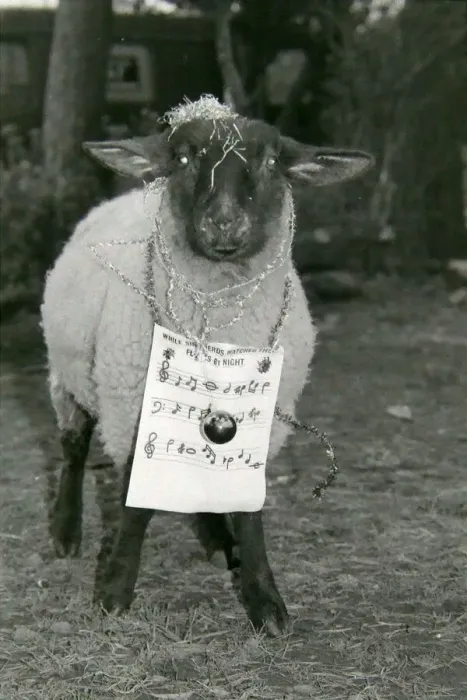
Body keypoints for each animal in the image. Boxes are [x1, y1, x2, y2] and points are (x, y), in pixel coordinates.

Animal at [41, 96, 373, 637]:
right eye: (182, 158)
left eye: (272, 161)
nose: (224, 223)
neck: (218, 332)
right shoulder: (133, 408)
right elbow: (134, 506)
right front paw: (115, 591)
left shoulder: (261, 419)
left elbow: (247, 507)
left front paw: (265, 601)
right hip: (69, 377)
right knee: (72, 447)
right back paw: (66, 530)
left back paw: (217, 539)